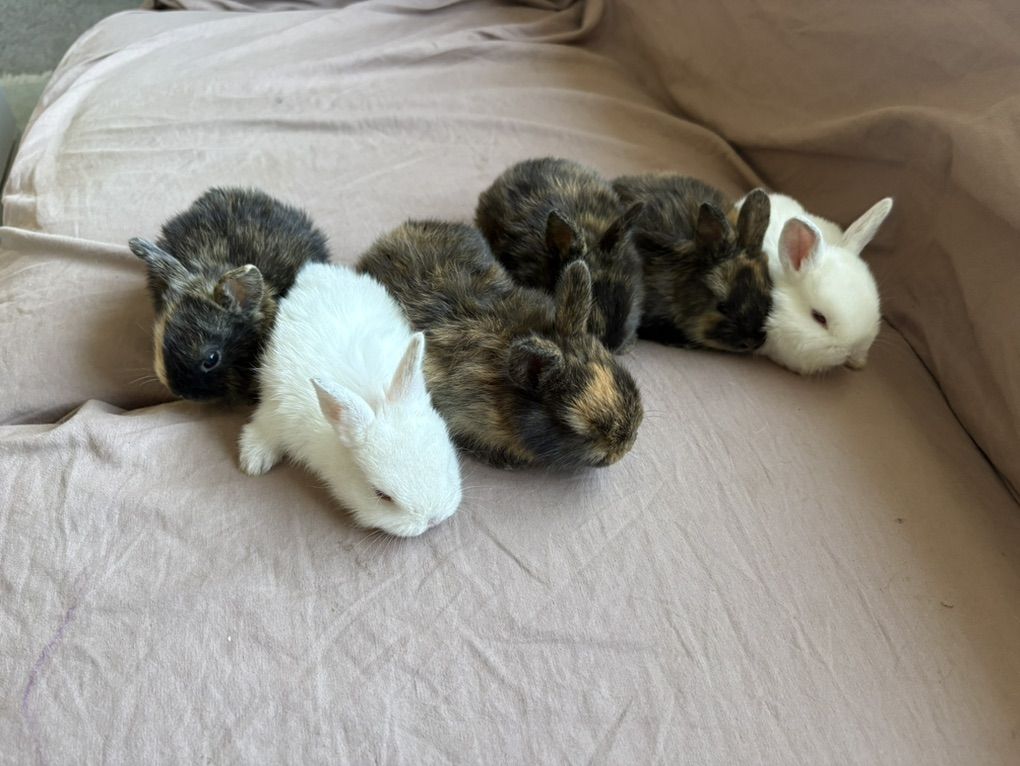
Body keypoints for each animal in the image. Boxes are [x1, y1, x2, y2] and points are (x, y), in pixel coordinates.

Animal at [238, 262, 462, 538]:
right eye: (382, 496)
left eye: (447, 462)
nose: (433, 520)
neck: (372, 399)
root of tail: (316, 269)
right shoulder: (279, 412)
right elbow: (263, 427)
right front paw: (253, 462)